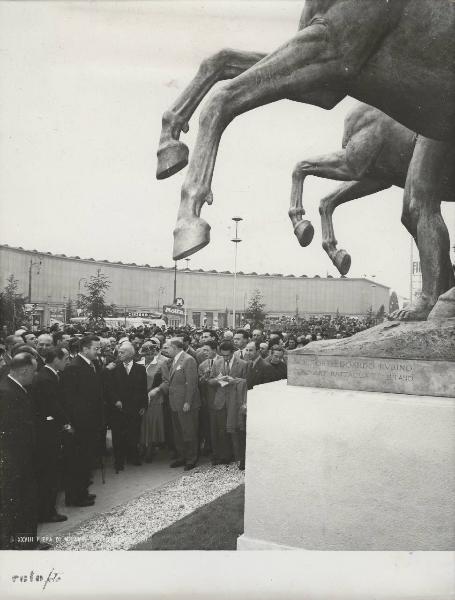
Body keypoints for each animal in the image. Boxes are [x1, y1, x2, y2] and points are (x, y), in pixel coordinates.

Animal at [158, 0, 455, 322]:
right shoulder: (333, 95)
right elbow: (221, 60)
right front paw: (169, 144)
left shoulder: (330, 53)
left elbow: (222, 98)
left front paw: (187, 222)